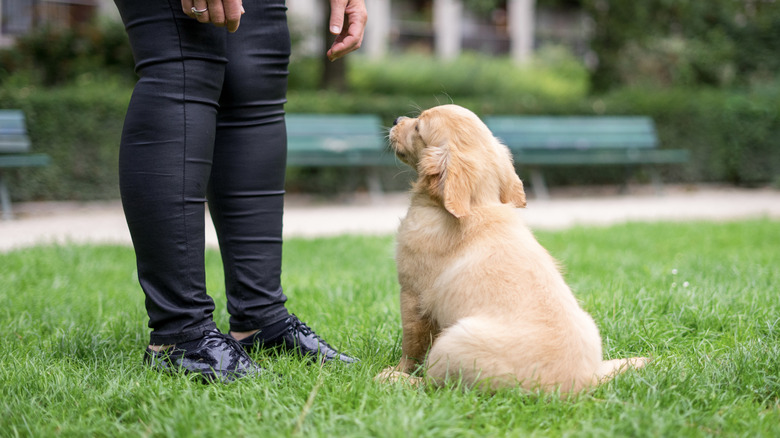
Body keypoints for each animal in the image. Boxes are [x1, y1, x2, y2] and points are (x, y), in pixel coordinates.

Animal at [380, 105, 648, 394]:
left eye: (418, 127)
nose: (395, 119)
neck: (478, 203)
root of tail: (586, 383)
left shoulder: (412, 294)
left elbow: (412, 344)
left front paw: (399, 369)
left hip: (452, 344)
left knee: (436, 385)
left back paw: (395, 380)